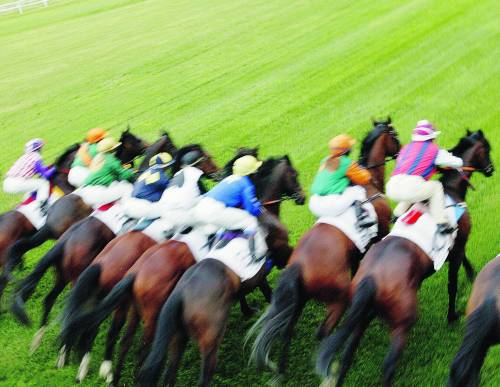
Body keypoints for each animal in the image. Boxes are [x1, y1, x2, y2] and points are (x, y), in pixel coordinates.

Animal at [248, 116, 400, 378]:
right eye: (395, 136)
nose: (401, 150)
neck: (370, 185)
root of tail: (298, 265)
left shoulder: (357, 253)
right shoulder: (380, 236)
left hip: (299, 300)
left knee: (287, 329)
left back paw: (281, 372)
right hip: (336, 298)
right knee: (323, 332)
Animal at [316, 129, 492, 386]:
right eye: (486, 148)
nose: (491, 169)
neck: (450, 190)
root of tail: (369, 280)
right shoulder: (458, 245)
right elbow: (452, 283)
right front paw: (454, 312)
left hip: (360, 318)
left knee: (346, 358)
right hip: (401, 322)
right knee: (388, 367)